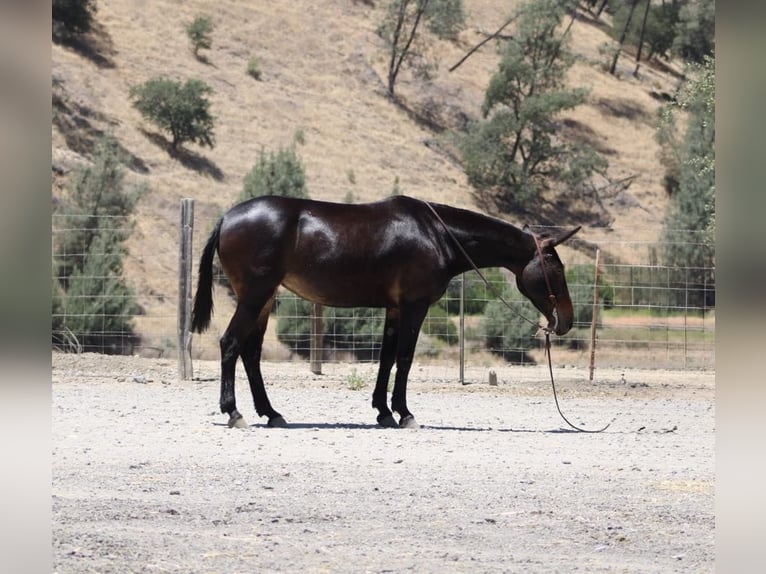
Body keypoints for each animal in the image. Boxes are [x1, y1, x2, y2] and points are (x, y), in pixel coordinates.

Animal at [191, 195, 580, 429]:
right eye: (556, 268)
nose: (566, 321)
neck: (436, 234)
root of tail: (227, 217)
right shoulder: (414, 307)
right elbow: (404, 359)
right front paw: (404, 413)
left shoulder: (394, 309)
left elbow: (386, 358)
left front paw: (383, 412)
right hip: (254, 296)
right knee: (230, 344)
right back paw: (234, 412)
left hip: (264, 299)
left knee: (251, 353)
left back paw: (271, 413)